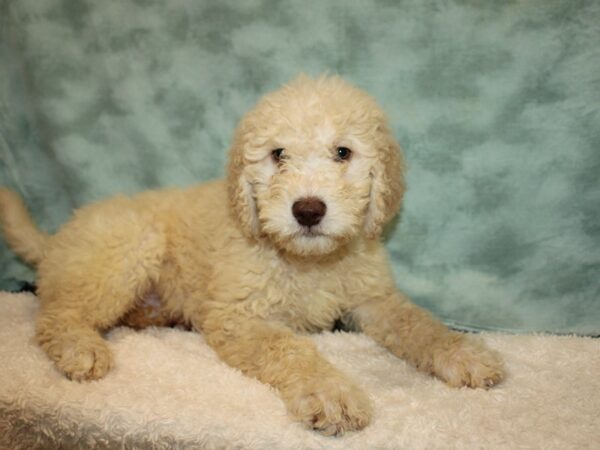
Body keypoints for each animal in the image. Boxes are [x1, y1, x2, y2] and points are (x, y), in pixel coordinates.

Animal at [0, 75, 504, 434]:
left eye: (343, 152)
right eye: (278, 155)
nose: (307, 210)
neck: (308, 261)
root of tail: (59, 236)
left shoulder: (373, 298)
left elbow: (418, 323)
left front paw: (463, 353)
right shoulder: (237, 316)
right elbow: (290, 347)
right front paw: (331, 392)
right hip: (125, 249)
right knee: (55, 314)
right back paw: (80, 347)